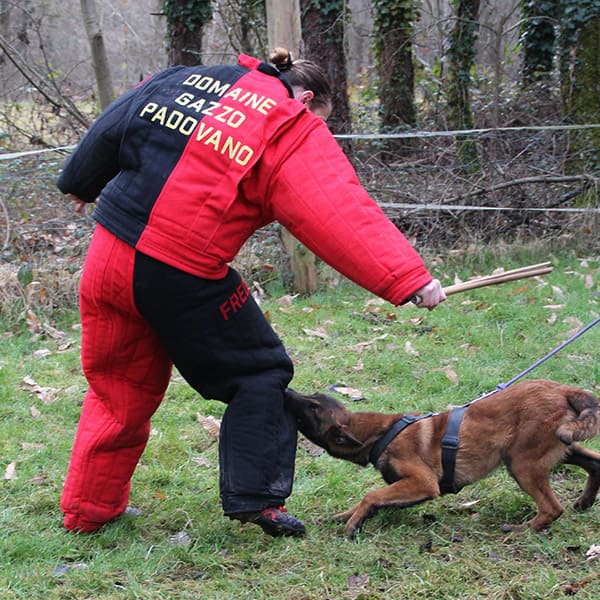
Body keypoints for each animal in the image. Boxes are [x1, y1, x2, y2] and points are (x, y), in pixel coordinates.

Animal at [286, 378, 600, 536]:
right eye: (313, 397)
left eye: (313, 408)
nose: (287, 389)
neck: (383, 433)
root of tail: (564, 389)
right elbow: (373, 499)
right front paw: (348, 515)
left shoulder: (423, 482)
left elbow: (371, 495)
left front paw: (353, 523)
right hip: (561, 449)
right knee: (595, 463)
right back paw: (584, 501)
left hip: (522, 463)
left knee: (551, 508)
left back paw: (520, 530)